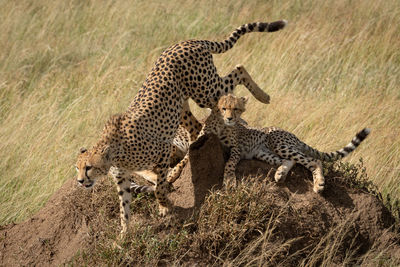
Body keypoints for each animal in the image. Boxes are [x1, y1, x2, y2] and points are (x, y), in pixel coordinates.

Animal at [75, 21, 288, 239]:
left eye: (88, 167)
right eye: (77, 167)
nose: (81, 181)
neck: (114, 153)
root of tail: (185, 42)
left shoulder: (161, 153)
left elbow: (160, 188)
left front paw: (164, 206)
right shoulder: (123, 178)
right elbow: (124, 208)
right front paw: (123, 236)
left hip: (206, 90)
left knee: (238, 70)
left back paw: (263, 96)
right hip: (183, 106)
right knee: (198, 128)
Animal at [167, 94, 370, 193]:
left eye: (236, 109)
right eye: (223, 108)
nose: (230, 118)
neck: (220, 125)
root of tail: (293, 134)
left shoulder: (236, 149)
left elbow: (230, 164)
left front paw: (229, 180)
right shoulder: (198, 144)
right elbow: (185, 160)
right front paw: (172, 174)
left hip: (278, 143)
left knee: (313, 160)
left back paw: (318, 184)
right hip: (263, 152)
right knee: (289, 161)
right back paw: (280, 174)